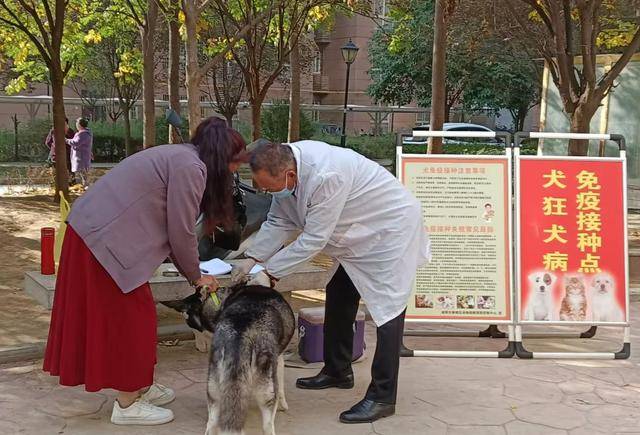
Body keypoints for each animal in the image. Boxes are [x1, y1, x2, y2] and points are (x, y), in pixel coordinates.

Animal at [165, 286, 296, 435]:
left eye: (194, 327)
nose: (199, 347)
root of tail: (241, 334)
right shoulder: (279, 359)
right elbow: (281, 387)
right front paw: (283, 405)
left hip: (213, 388)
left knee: (211, 424)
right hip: (266, 392)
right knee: (268, 425)